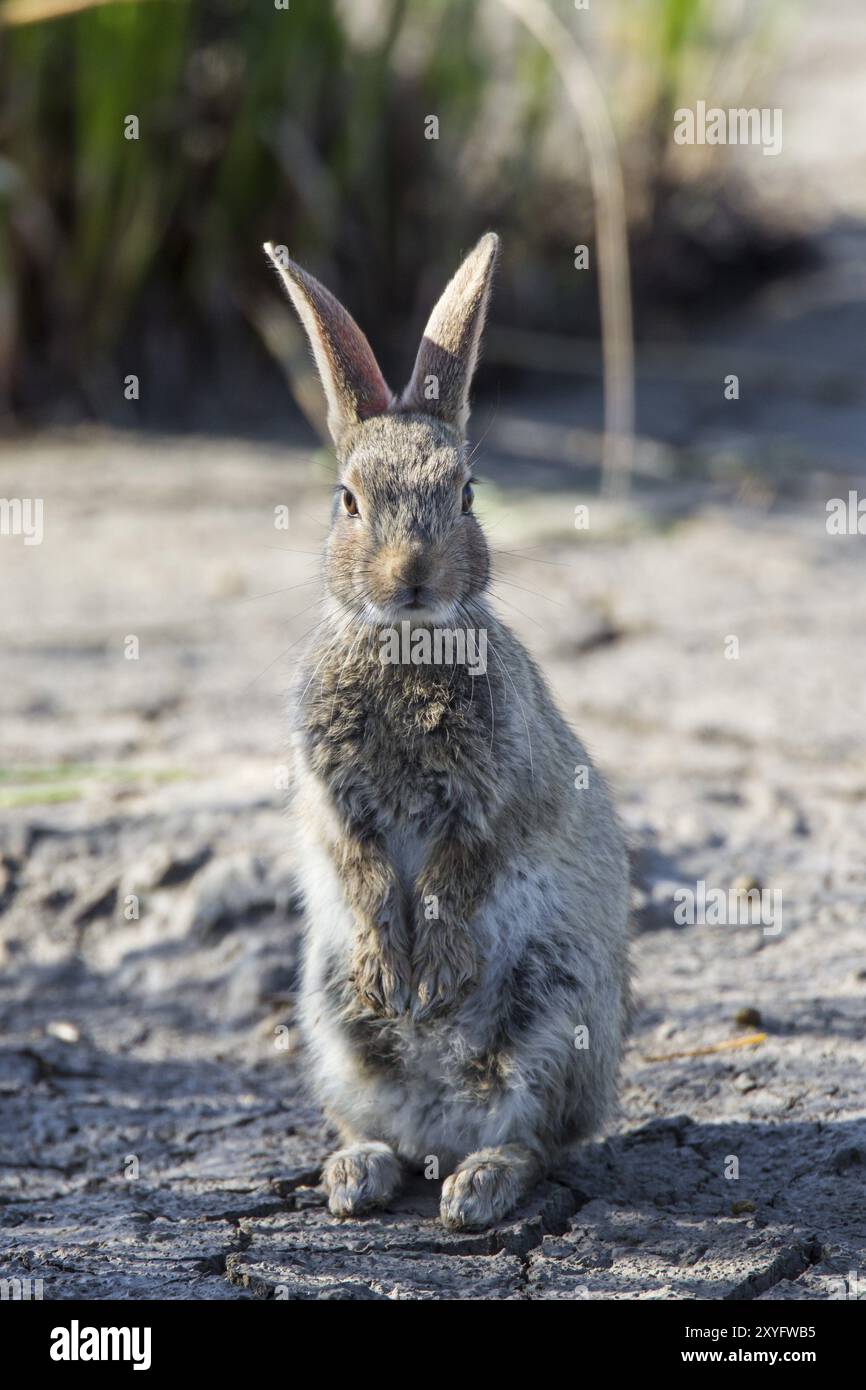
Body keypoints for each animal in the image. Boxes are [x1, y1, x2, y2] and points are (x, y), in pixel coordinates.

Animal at [263, 232, 631, 1231]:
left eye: (467, 494)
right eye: (348, 501)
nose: (412, 576)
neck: (405, 645)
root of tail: (441, 1129)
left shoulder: (491, 799)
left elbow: (456, 875)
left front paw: (426, 983)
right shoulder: (332, 801)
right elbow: (361, 868)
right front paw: (396, 978)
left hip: (553, 1011)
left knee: (534, 1135)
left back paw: (477, 1187)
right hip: (331, 1024)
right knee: (376, 1119)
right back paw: (360, 1175)